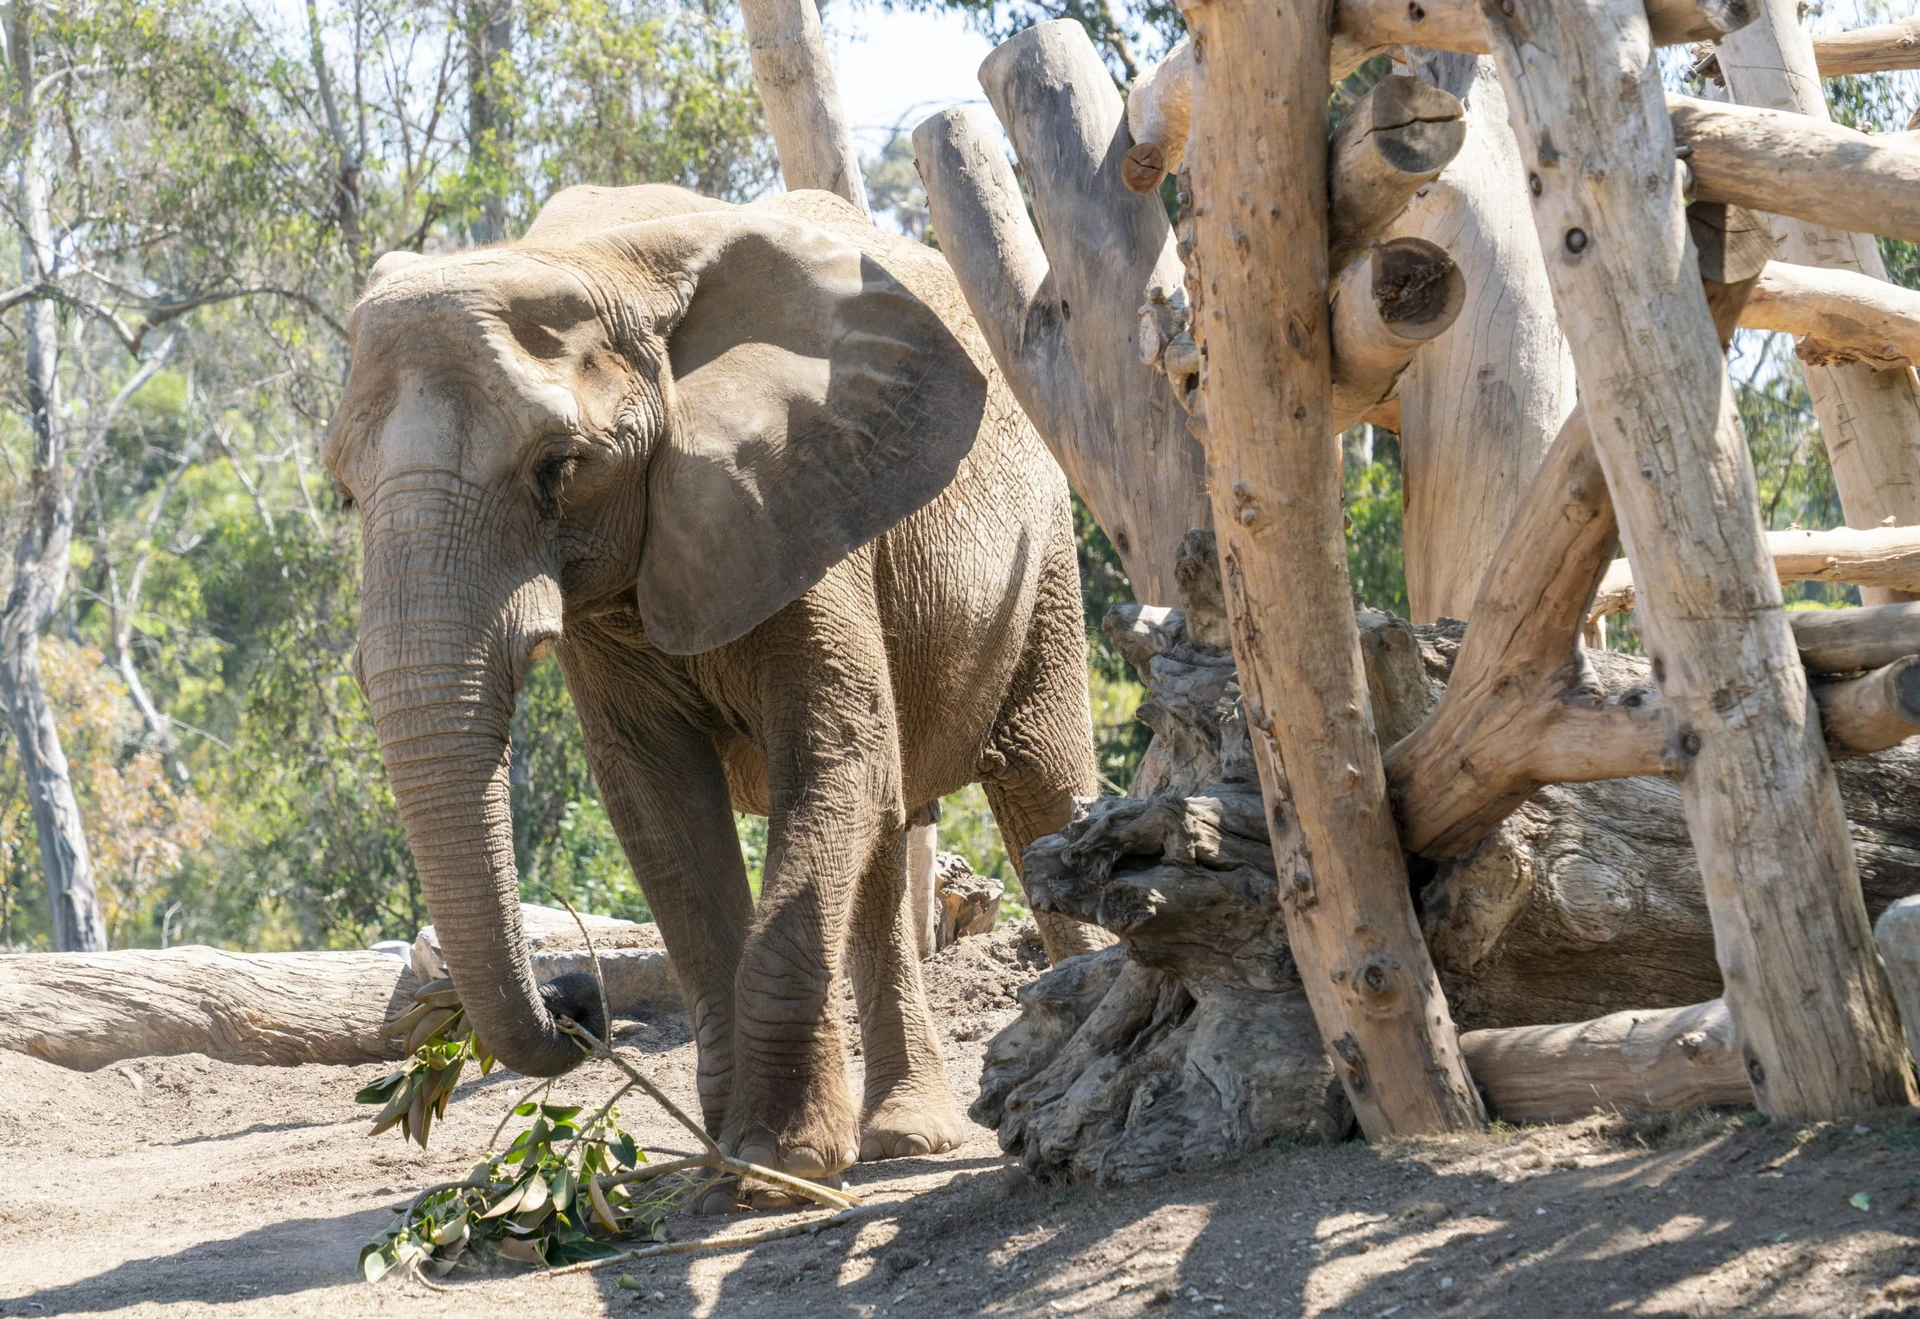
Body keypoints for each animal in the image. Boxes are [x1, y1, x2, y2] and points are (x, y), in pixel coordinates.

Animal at [323, 182, 1107, 1200]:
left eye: (559, 469)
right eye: (344, 492)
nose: (577, 1002)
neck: (598, 265)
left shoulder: (801, 489)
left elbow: (836, 749)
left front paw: (778, 1161)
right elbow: (659, 804)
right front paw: (731, 1159)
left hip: (1042, 546)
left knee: (1039, 782)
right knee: (885, 838)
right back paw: (905, 1137)